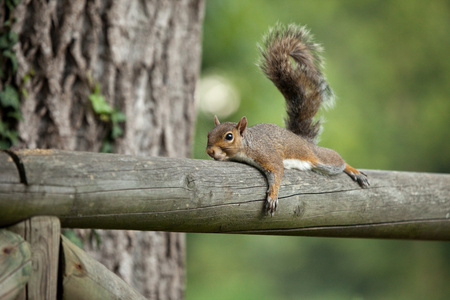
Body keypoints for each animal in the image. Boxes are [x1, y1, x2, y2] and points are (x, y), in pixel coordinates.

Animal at [206, 24, 368, 216]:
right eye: (208, 134)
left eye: (229, 137)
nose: (210, 151)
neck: (247, 146)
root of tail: (303, 140)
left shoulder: (266, 155)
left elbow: (277, 172)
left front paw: (272, 196)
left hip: (319, 158)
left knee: (337, 161)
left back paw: (355, 172)